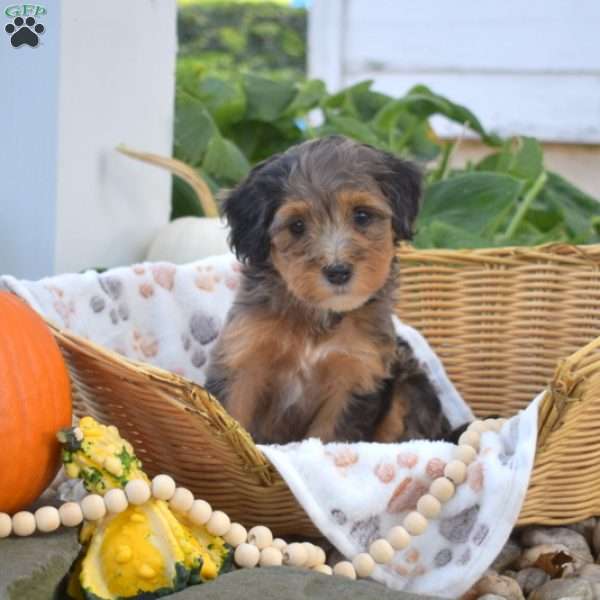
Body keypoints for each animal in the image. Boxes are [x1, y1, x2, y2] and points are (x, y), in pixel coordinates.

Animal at [204, 136, 452, 446]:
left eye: (362, 216)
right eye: (297, 226)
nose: (337, 271)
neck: (318, 316)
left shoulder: (354, 377)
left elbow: (328, 436)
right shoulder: (243, 357)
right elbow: (233, 413)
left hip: (409, 386)